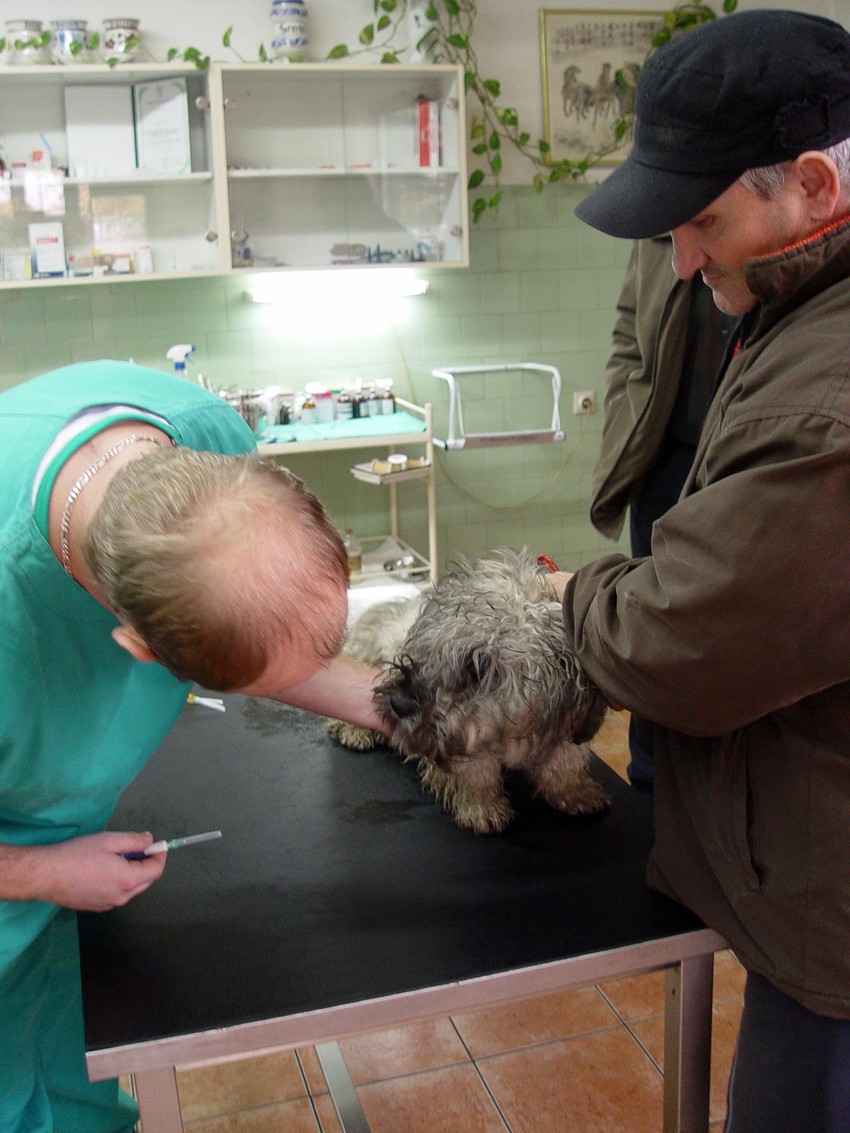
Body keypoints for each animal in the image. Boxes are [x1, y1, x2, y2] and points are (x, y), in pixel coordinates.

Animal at [328, 550, 609, 833]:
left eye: (478, 667)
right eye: (428, 648)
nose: (398, 703)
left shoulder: (567, 728)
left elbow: (564, 762)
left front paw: (575, 790)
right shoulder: (463, 742)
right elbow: (477, 773)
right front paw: (482, 807)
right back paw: (355, 730)